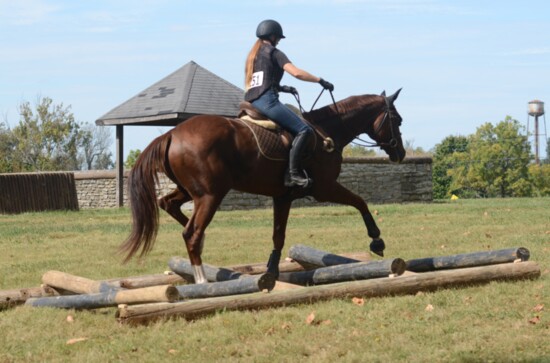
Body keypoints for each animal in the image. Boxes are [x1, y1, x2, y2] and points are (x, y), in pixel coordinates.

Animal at [121, 88, 406, 284]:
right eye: (398, 120)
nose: (400, 154)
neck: (327, 130)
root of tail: (171, 133)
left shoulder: (283, 197)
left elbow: (278, 236)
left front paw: (271, 272)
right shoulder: (324, 188)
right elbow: (360, 202)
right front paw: (377, 241)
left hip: (191, 191)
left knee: (168, 205)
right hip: (210, 195)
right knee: (191, 232)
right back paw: (201, 280)